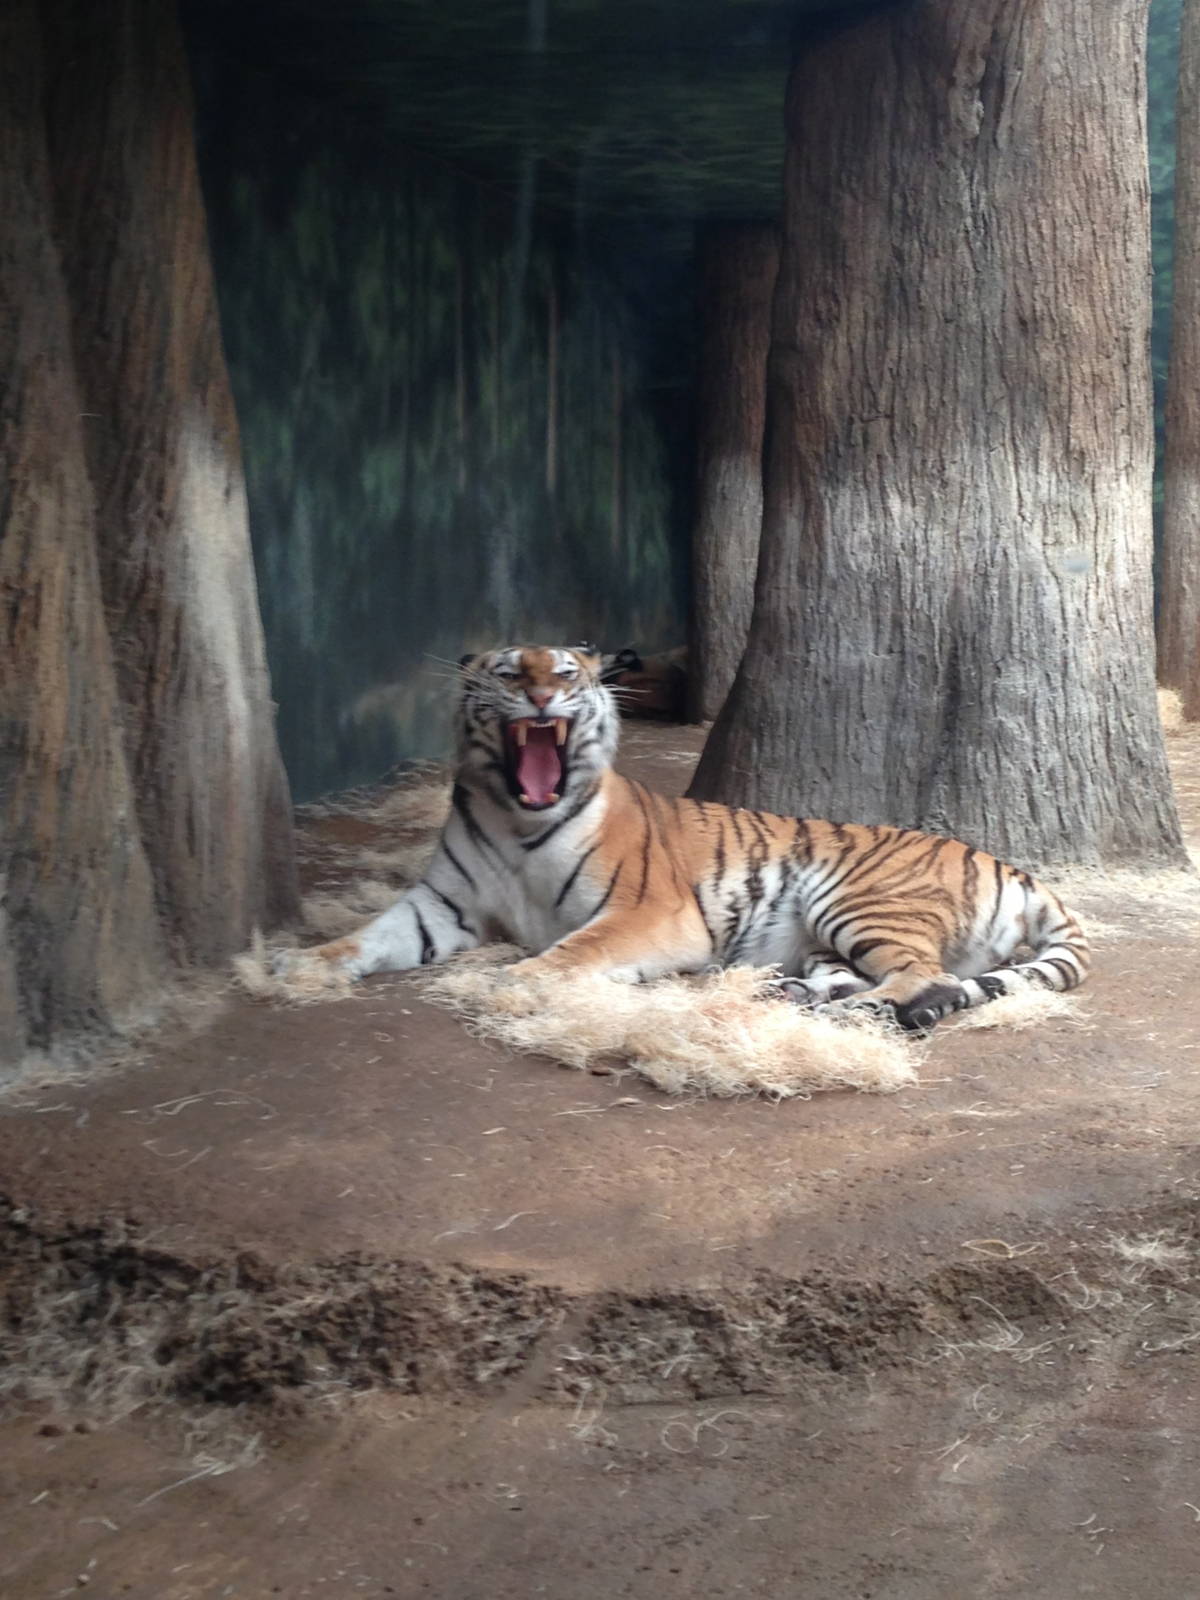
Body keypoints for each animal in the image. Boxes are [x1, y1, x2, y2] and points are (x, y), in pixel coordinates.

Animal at [295, 643, 1090, 1033]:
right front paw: (298, 966)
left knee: (930, 980)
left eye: (564, 672)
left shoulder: (652, 913)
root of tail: (1015, 870)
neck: (516, 815)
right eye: (509, 671)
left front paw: (516, 981)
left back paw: (862, 1012)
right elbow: (366, 937)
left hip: (856, 902)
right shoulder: (442, 903)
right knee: (874, 979)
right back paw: (792, 996)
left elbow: (574, 950)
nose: (543, 695)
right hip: (825, 937)